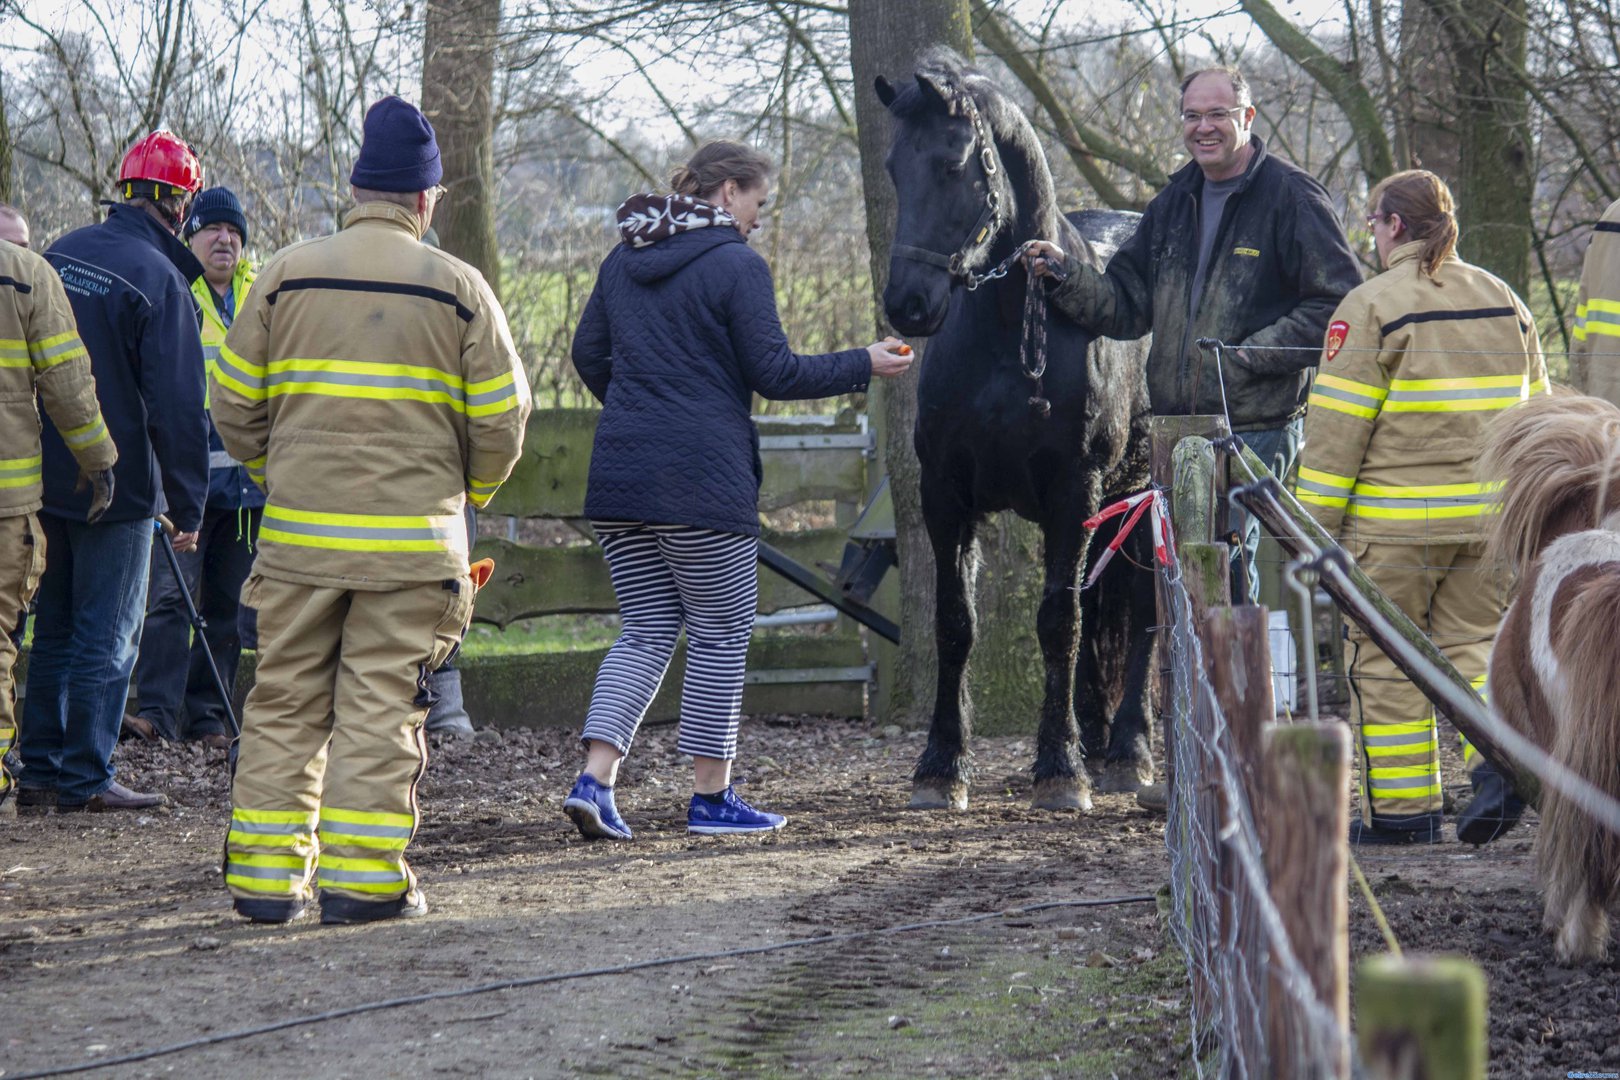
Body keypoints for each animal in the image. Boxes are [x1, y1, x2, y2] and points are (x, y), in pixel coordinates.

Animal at [875, 48, 1157, 811]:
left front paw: (1059, 770)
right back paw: (1098, 736)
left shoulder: (1073, 492)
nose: (907, 304)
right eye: (893, 167)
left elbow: (1058, 622)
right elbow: (955, 623)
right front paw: (940, 767)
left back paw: (1127, 750)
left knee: (1143, 611)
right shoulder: (946, 493)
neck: (1009, 329)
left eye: (952, 162)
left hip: (1144, 500)